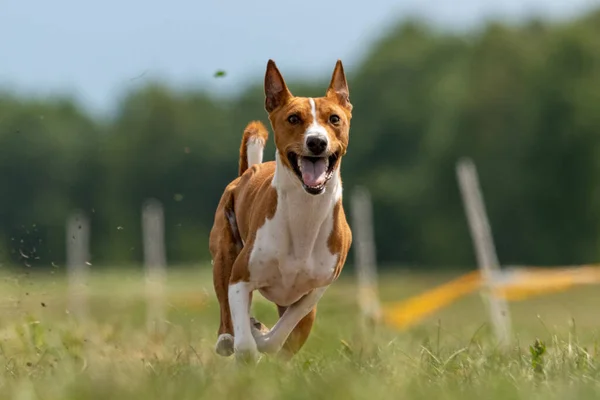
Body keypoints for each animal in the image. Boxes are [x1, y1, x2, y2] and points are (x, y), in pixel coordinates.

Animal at [210, 59, 352, 362]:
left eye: (334, 119)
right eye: (294, 118)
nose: (316, 142)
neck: (305, 214)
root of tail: (250, 169)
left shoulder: (314, 291)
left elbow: (281, 334)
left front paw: (262, 336)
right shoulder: (240, 277)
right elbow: (245, 341)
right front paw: (249, 338)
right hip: (224, 252)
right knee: (226, 312)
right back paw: (228, 337)